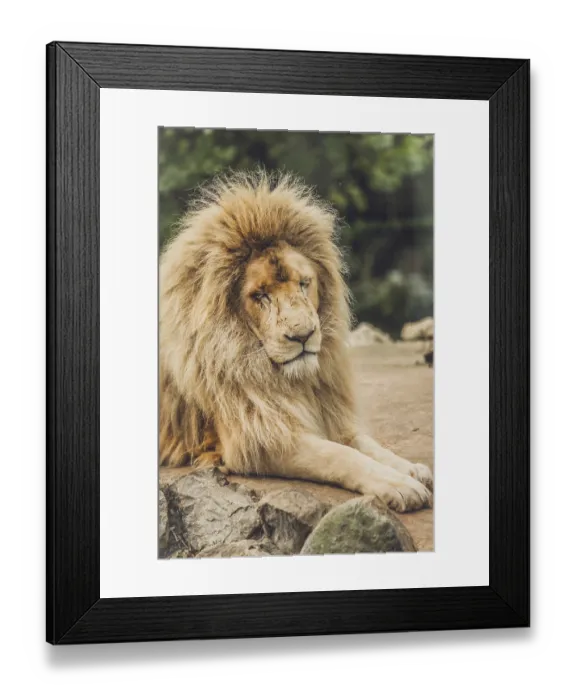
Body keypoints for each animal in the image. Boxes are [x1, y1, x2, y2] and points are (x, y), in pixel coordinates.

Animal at [159, 171, 432, 512]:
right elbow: (339, 455)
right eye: (260, 296)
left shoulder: (328, 410)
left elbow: (364, 443)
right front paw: (399, 485)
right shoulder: (257, 441)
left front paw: (410, 469)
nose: (303, 336)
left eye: (304, 283)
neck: (290, 380)